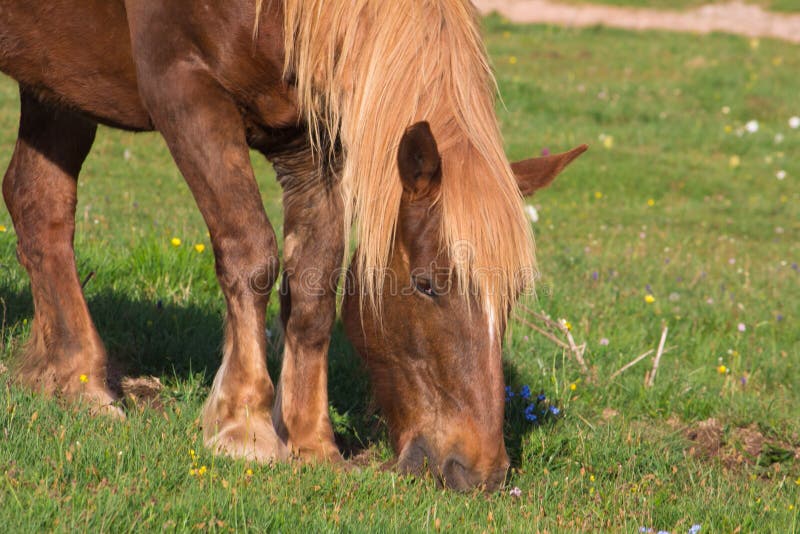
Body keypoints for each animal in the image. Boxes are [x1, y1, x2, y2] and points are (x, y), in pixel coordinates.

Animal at [1, 1, 588, 494]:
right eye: (426, 285)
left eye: (512, 298)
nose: (480, 473)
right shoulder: (182, 88)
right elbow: (251, 254)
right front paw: (245, 427)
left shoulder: (311, 142)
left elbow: (313, 287)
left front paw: (312, 443)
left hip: (58, 77)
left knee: (39, 203)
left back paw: (75, 378)